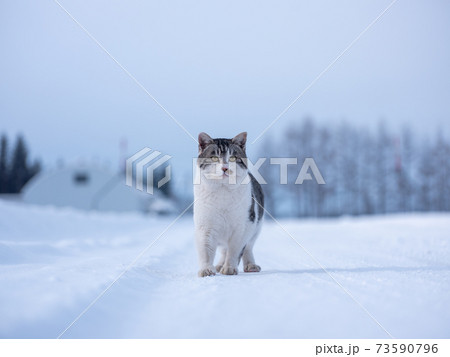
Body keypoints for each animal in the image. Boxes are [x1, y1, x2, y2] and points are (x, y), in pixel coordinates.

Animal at [193, 131, 264, 276]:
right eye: (214, 157)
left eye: (232, 158)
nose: (225, 168)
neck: (223, 191)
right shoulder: (205, 226)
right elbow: (206, 251)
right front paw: (206, 270)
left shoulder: (243, 227)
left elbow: (235, 250)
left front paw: (229, 268)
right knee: (223, 250)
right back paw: (219, 265)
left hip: (256, 227)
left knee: (248, 247)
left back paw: (250, 265)